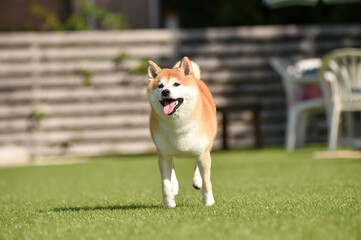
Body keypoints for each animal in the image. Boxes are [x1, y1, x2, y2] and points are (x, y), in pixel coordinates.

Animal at [146, 56, 217, 208]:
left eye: (176, 84)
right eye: (160, 86)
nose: (165, 91)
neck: (178, 124)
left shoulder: (203, 151)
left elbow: (207, 181)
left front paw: (208, 201)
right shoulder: (163, 153)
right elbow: (165, 184)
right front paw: (168, 203)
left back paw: (197, 181)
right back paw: (174, 186)